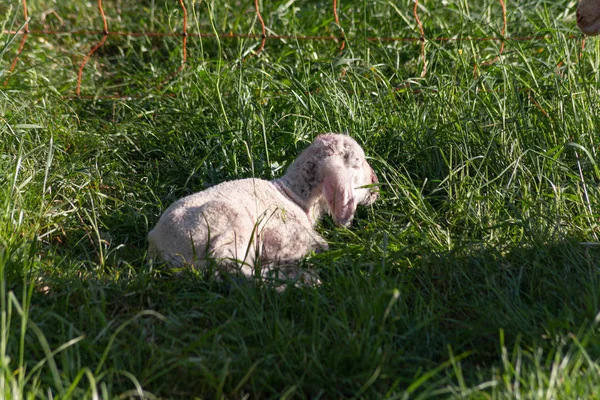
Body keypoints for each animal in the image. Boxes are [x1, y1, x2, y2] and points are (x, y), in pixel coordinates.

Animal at [148, 134, 378, 282]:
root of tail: (160, 244)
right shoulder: (281, 231)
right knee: (238, 272)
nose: (376, 184)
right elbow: (318, 244)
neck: (293, 196)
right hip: (228, 226)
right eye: (357, 162)